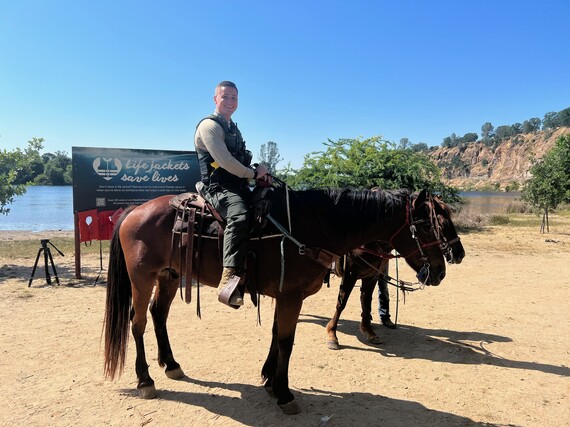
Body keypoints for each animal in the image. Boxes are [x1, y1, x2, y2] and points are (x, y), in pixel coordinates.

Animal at [103, 186, 448, 414]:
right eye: (427, 226)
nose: (441, 271)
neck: (312, 227)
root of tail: (133, 210)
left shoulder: (282, 295)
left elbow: (274, 336)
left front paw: (269, 379)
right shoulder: (291, 297)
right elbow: (286, 341)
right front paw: (283, 392)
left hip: (170, 276)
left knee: (158, 315)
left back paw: (172, 365)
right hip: (142, 278)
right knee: (138, 323)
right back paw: (145, 380)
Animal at [324, 196, 462, 350]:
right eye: (441, 226)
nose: (460, 254)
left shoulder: (372, 276)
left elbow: (366, 301)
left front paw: (369, 332)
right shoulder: (350, 274)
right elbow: (341, 303)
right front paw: (332, 335)